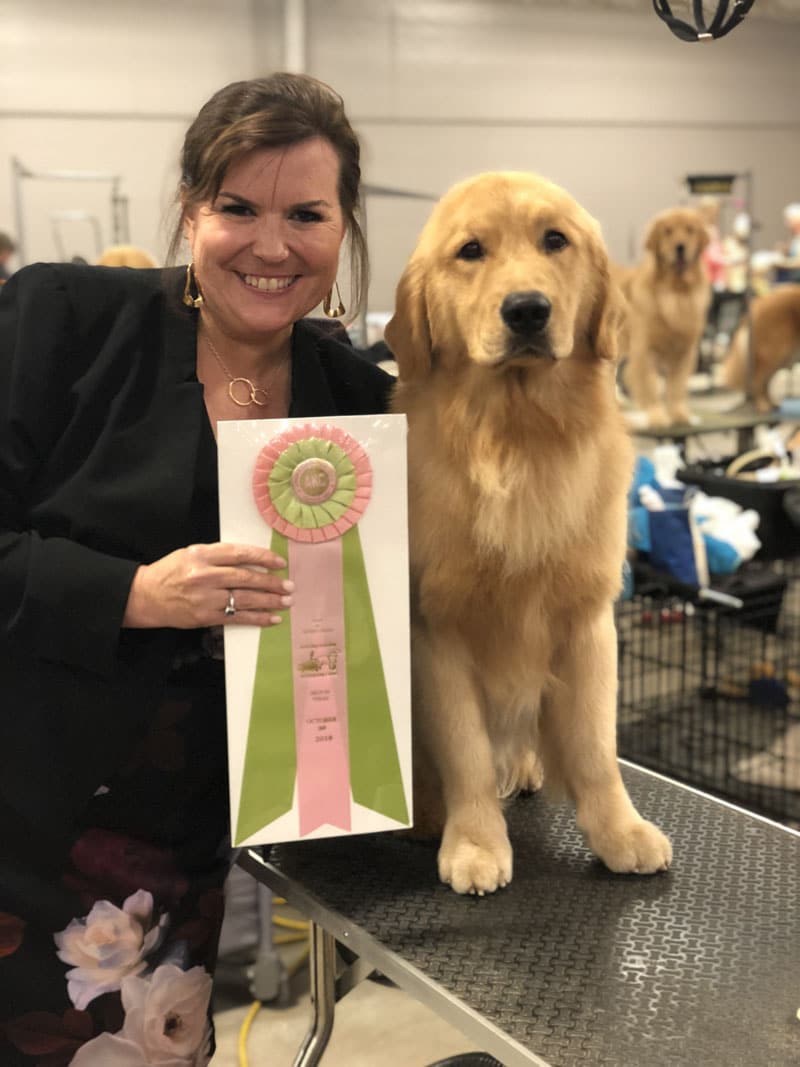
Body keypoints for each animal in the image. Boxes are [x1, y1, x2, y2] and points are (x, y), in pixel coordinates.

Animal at [386, 172, 674, 892]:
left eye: (555, 240)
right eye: (470, 250)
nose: (526, 311)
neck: (517, 440)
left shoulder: (588, 622)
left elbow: (597, 747)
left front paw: (620, 831)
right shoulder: (437, 629)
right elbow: (463, 749)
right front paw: (474, 841)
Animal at [622, 205, 712, 426]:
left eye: (689, 230)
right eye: (667, 231)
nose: (680, 247)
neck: (676, 291)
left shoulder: (686, 351)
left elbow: (677, 387)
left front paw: (679, 414)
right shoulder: (645, 350)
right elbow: (652, 386)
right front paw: (657, 416)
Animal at [721, 281, 800, 409]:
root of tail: (758, 303)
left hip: (778, 358)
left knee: (765, 382)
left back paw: (770, 403)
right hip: (773, 353)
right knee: (758, 381)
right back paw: (762, 404)